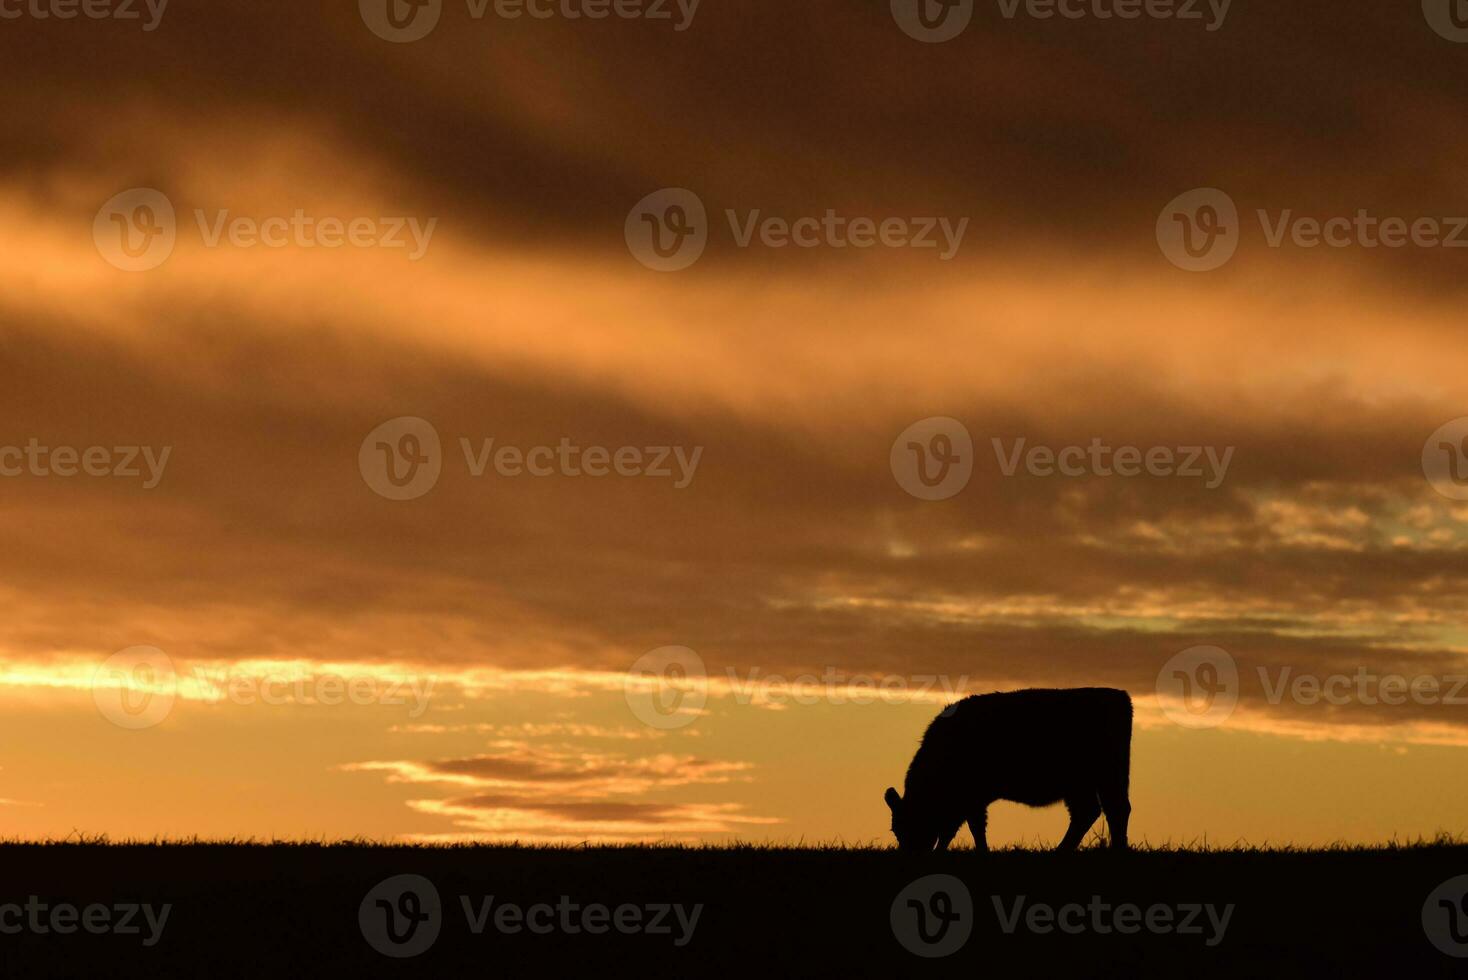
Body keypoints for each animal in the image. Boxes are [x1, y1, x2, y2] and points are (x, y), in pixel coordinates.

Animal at [880, 689, 1133, 850]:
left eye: (912, 823)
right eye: (895, 830)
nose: (911, 853)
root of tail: (1119, 696)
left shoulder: (971, 799)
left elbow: (970, 827)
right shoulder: (968, 801)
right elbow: (960, 828)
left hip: (1104, 777)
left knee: (1113, 810)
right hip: (1085, 784)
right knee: (1090, 812)